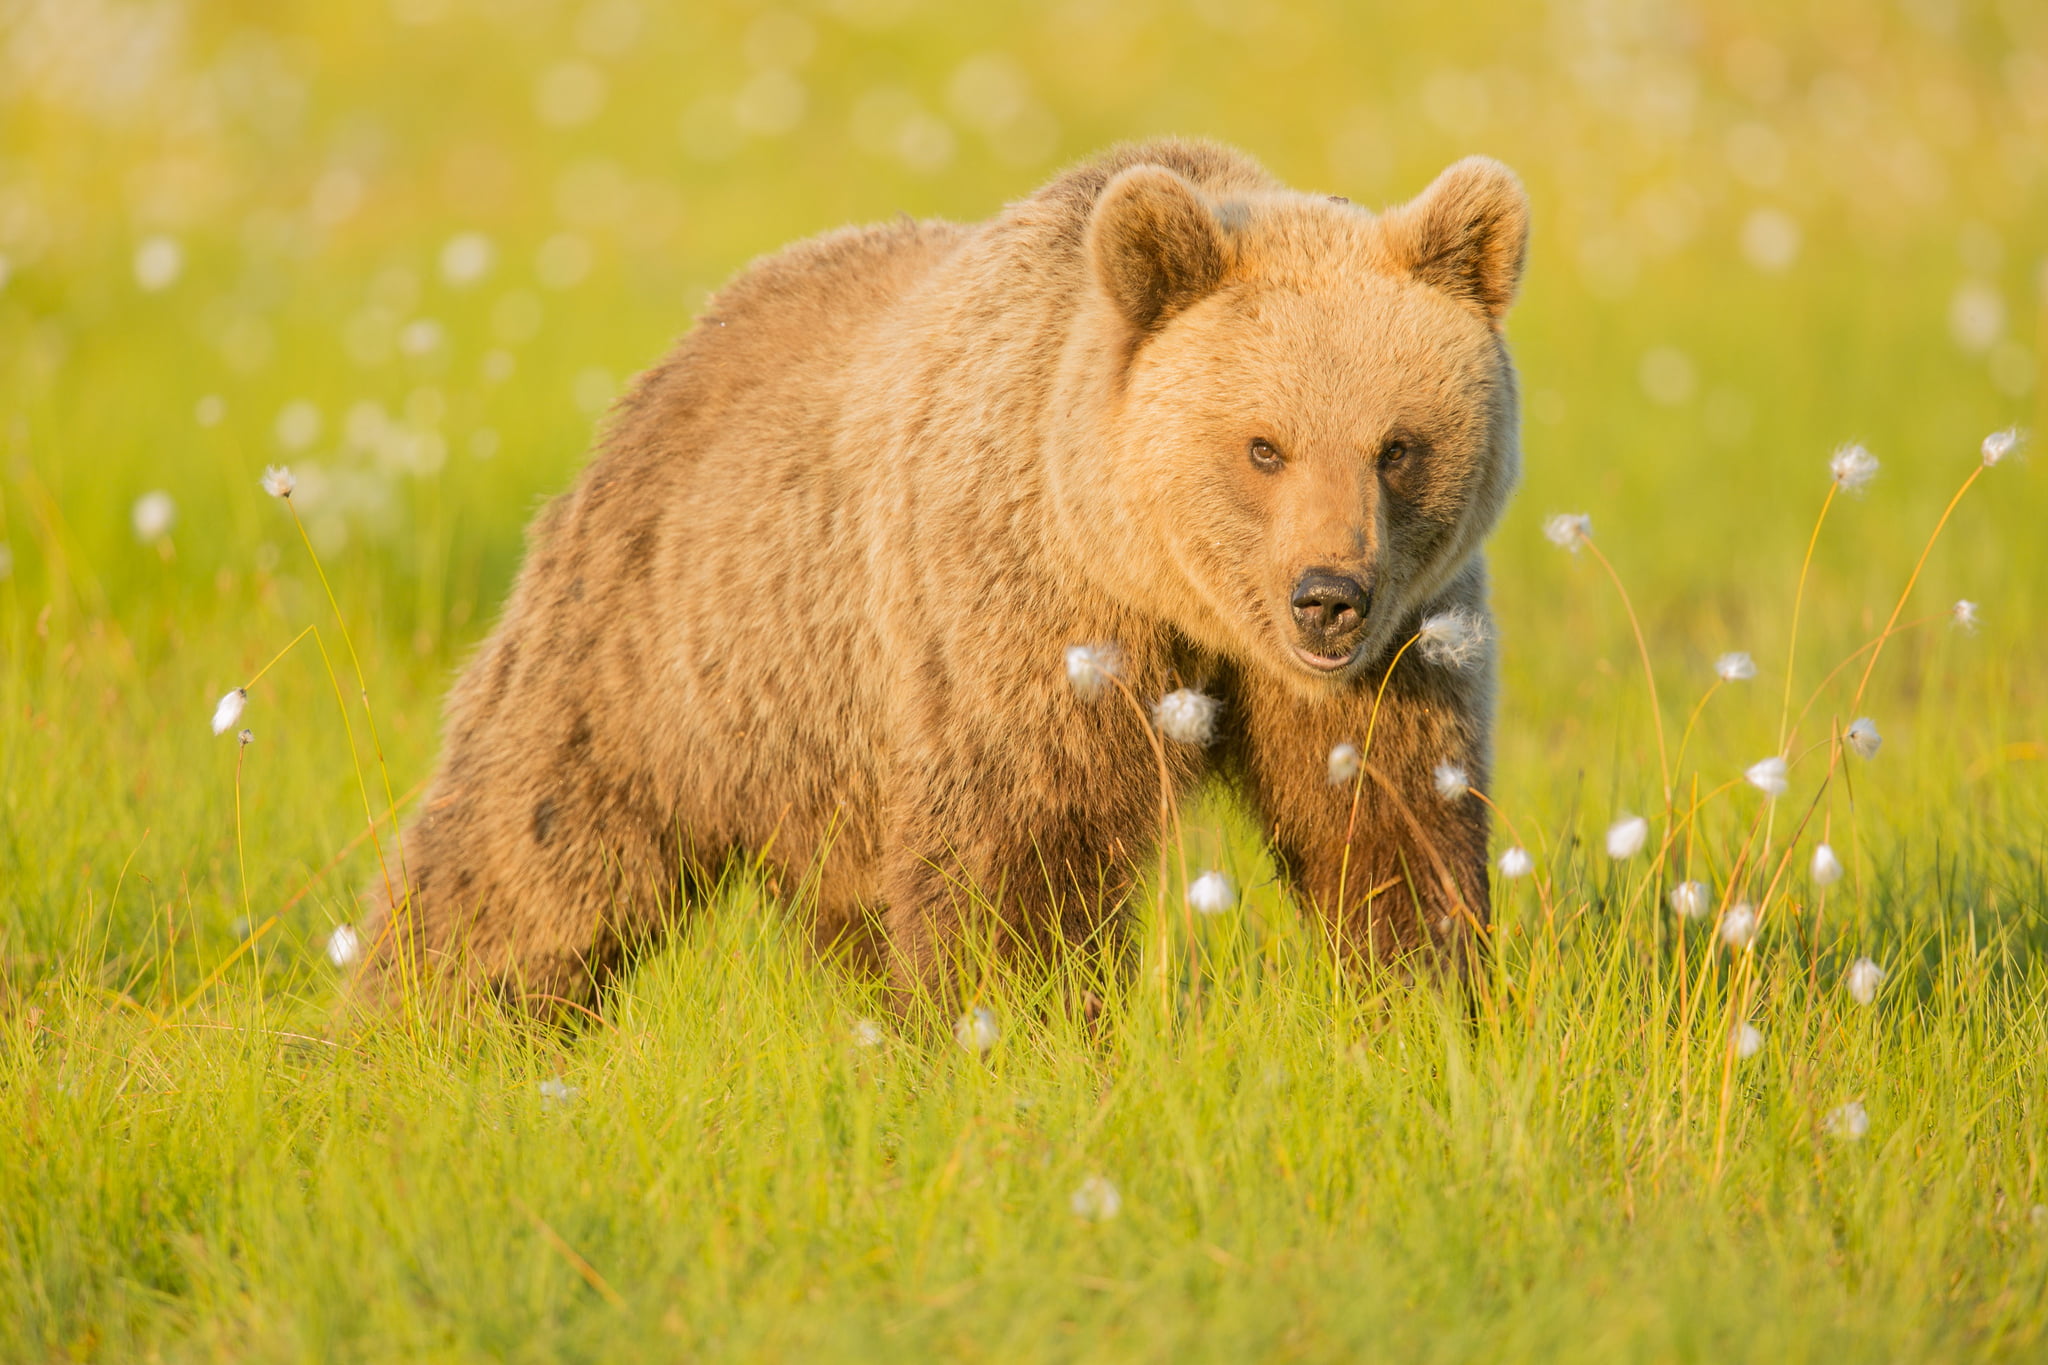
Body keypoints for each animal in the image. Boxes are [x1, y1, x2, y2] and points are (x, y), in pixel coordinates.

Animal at [354, 138, 1528, 1016]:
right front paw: (1029, 1031)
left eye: (1397, 446)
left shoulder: (1398, 652)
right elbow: (1021, 855)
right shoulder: (1017, 615)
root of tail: (683, 350)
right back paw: (415, 1031)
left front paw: (1422, 1001)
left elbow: (1385, 824)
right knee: (525, 856)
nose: (1327, 594)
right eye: (1262, 447)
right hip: (659, 648)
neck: (1163, 590)